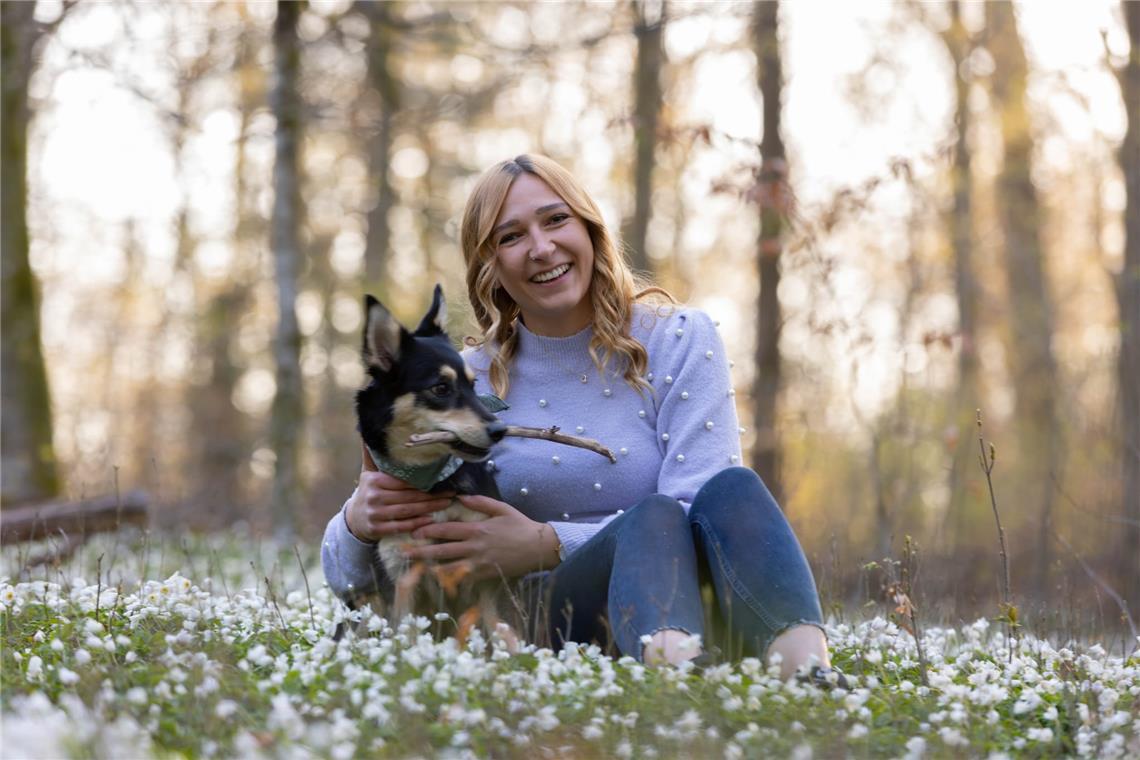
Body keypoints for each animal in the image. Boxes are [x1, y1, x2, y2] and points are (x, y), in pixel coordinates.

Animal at [346, 288, 513, 647]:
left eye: (473, 385)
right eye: (440, 388)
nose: (500, 430)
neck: (431, 483)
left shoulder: (486, 572)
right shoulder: (402, 574)